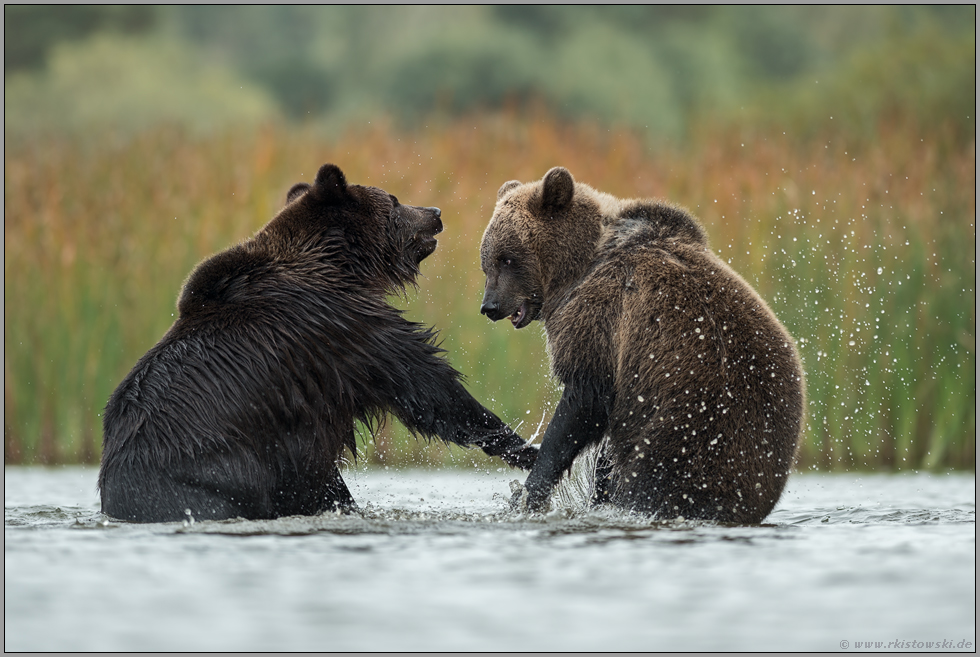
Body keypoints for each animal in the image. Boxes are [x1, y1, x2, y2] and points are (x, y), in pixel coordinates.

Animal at [99, 163, 537, 523]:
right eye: (393, 200)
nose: (435, 213)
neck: (341, 268)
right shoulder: (341, 331)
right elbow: (426, 388)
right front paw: (524, 448)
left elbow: (325, 481)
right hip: (213, 476)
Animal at [479, 166, 805, 524]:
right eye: (487, 261)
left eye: (508, 258)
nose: (490, 306)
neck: (576, 268)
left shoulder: (602, 316)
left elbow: (582, 400)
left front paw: (528, 493)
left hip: (690, 430)